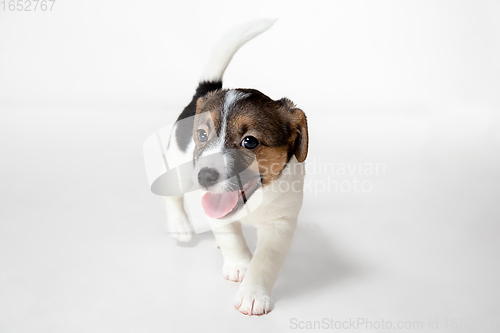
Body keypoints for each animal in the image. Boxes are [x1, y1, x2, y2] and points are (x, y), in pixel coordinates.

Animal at [162, 19, 306, 316]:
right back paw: (180, 225)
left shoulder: (280, 225)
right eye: (202, 135)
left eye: (249, 141)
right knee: (173, 196)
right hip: (178, 165)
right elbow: (231, 238)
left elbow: (265, 262)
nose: (205, 177)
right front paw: (239, 265)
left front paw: (253, 294)